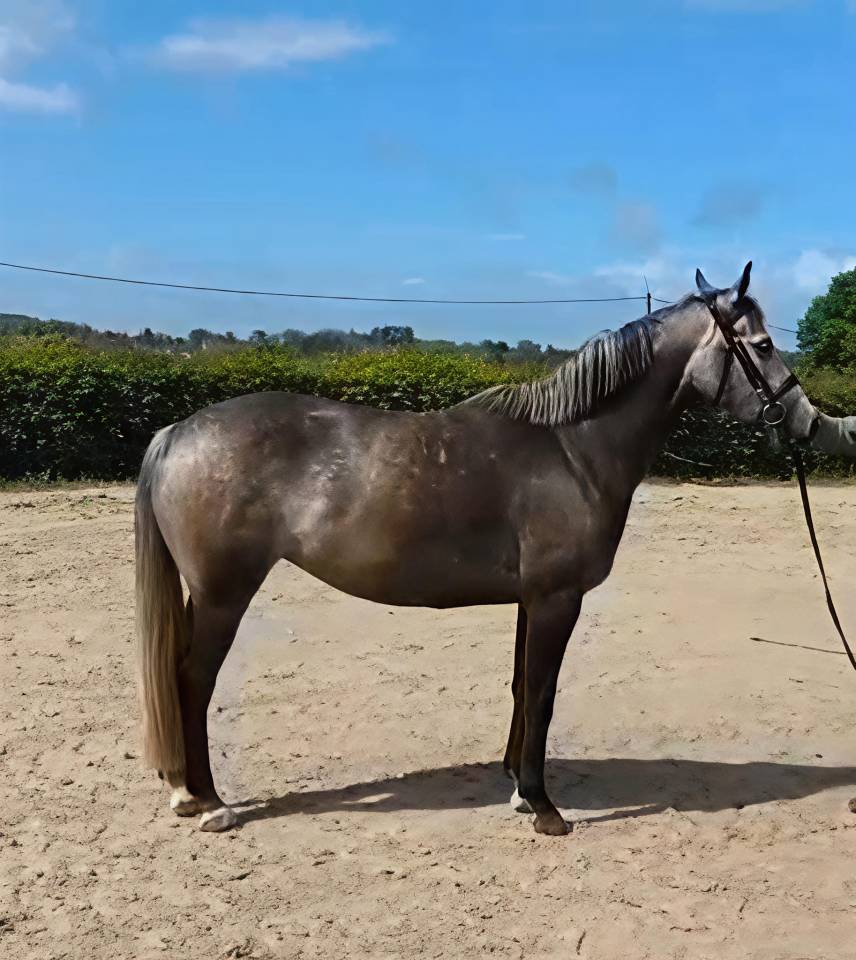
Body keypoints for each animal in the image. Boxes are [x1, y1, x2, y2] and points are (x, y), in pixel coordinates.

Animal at [135, 262, 822, 836]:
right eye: (763, 344)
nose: (806, 421)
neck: (572, 448)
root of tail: (178, 431)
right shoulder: (557, 599)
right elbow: (543, 694)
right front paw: (544, 808)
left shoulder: (530, 599)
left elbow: (521, 686)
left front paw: (517, 787)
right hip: (224, 594)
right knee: (192, 680)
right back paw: (209, 803)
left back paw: (189, 794)